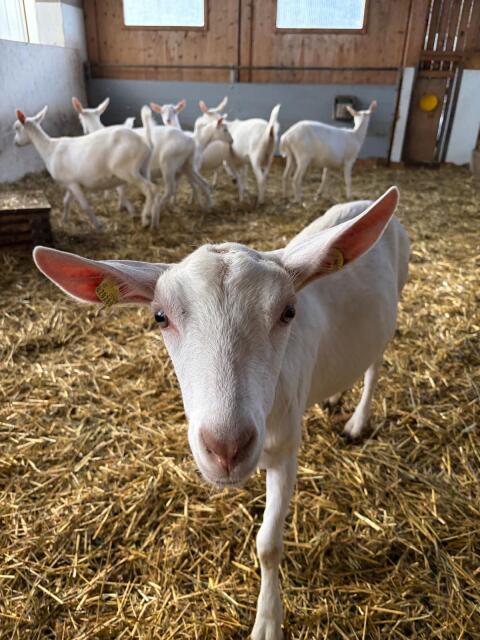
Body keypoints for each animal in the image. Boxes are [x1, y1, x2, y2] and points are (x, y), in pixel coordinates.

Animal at [14, 107, 156, 230]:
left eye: (17, 128)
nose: (15, 143)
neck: (49, 148)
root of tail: (144, 141)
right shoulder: (70, 183)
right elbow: (66, 201)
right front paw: (64, 221)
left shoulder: (73, 184)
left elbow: (85, 206)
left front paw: (98, 226)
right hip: (144, 167)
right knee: (154, 189)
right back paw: (152, 217)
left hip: (128, 170)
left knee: (149, 189)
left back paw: (145, 219)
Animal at [33, 186, 409, 639]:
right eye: (160, 316)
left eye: (288, 312)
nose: (227, 447)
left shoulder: (286, 448)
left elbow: (268, 544)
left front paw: (268, 621)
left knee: (375, 365)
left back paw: (357, 421)